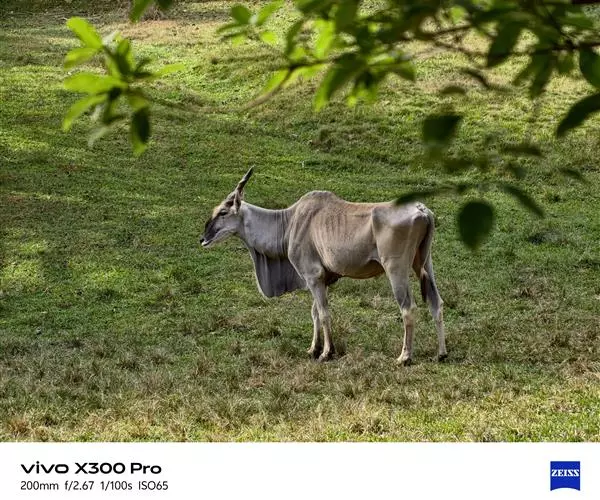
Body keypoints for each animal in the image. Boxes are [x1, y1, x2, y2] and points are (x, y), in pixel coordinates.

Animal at [200, 168, 447, 365]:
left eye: (223, 212)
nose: (203, 239)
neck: (289, 222)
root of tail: (422, 210)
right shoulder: (323, 279)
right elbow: (315, 313)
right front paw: (313, 349)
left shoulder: (313, 277)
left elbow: (324, 312)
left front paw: (326, 353)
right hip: (425, 263)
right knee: (436, 302)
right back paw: (441, 354)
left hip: (396, 269)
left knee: (408, 308)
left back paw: (404, 357)